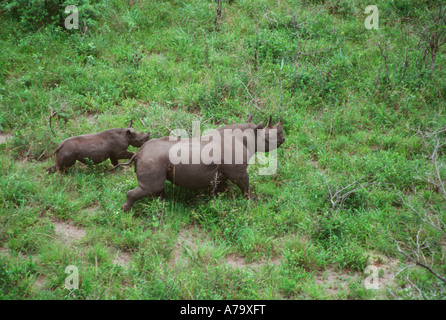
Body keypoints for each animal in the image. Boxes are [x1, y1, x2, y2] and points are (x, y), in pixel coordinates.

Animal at [120, 116, 284, 211]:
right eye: (268, 138)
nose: (283, 140)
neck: (248, 136)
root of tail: (139, 153)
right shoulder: (238, 171)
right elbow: (245, 185)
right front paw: (254, 200)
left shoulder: (221, 171)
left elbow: (221, 186)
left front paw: (217, 199)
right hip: (152, 159)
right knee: (152, 187)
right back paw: (126, 210)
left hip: (153, 160)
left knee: (156, 188)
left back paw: (162, 204)